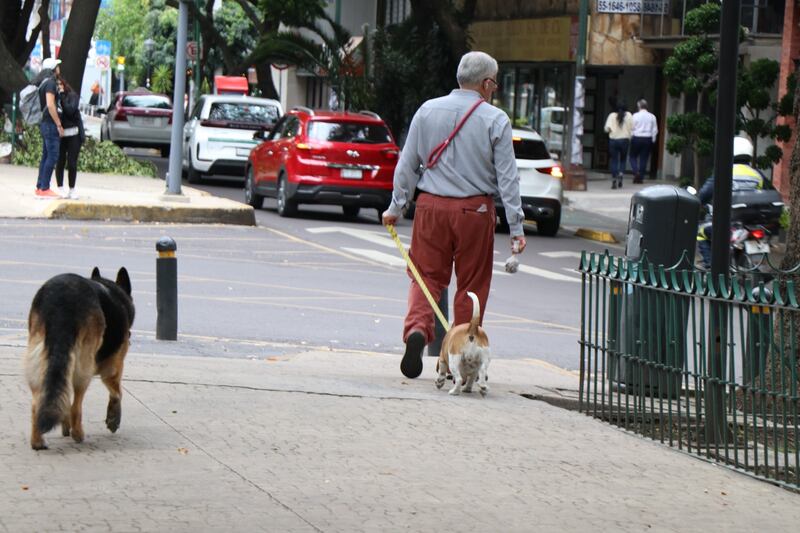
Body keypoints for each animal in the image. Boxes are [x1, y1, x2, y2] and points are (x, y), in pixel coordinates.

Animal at [24, 268, 134, 446]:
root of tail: (62, 300)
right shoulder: (113, 368)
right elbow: (117, 392)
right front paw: (113, 418)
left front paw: (64, 423)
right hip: (83, 369)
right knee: (76, 406)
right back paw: (78, 434)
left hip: (40, 359)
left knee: (37, 403)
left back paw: (38, 441)